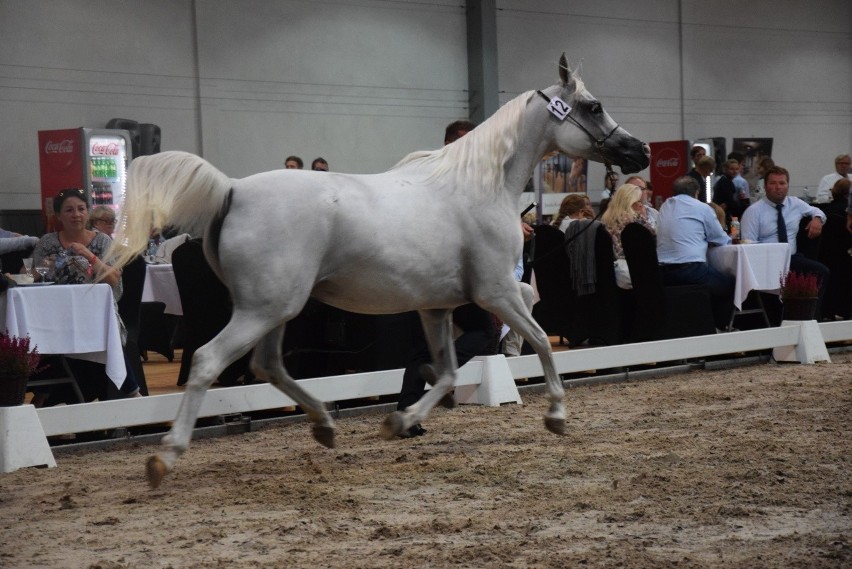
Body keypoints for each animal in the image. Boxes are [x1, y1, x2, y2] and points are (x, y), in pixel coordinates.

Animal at [110, 55, 648, 486]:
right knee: (206, 361)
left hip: (274, 309)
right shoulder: (498, 294)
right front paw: (556, 414)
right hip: (262, 310)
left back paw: (325, 425)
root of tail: (232, 189)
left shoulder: (436, 307)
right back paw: (166, 457)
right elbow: (539, 342)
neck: (479, 187)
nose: (638, 151)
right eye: (593, 106)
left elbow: (447, 373)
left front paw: (400, 422)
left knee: (268, 365)